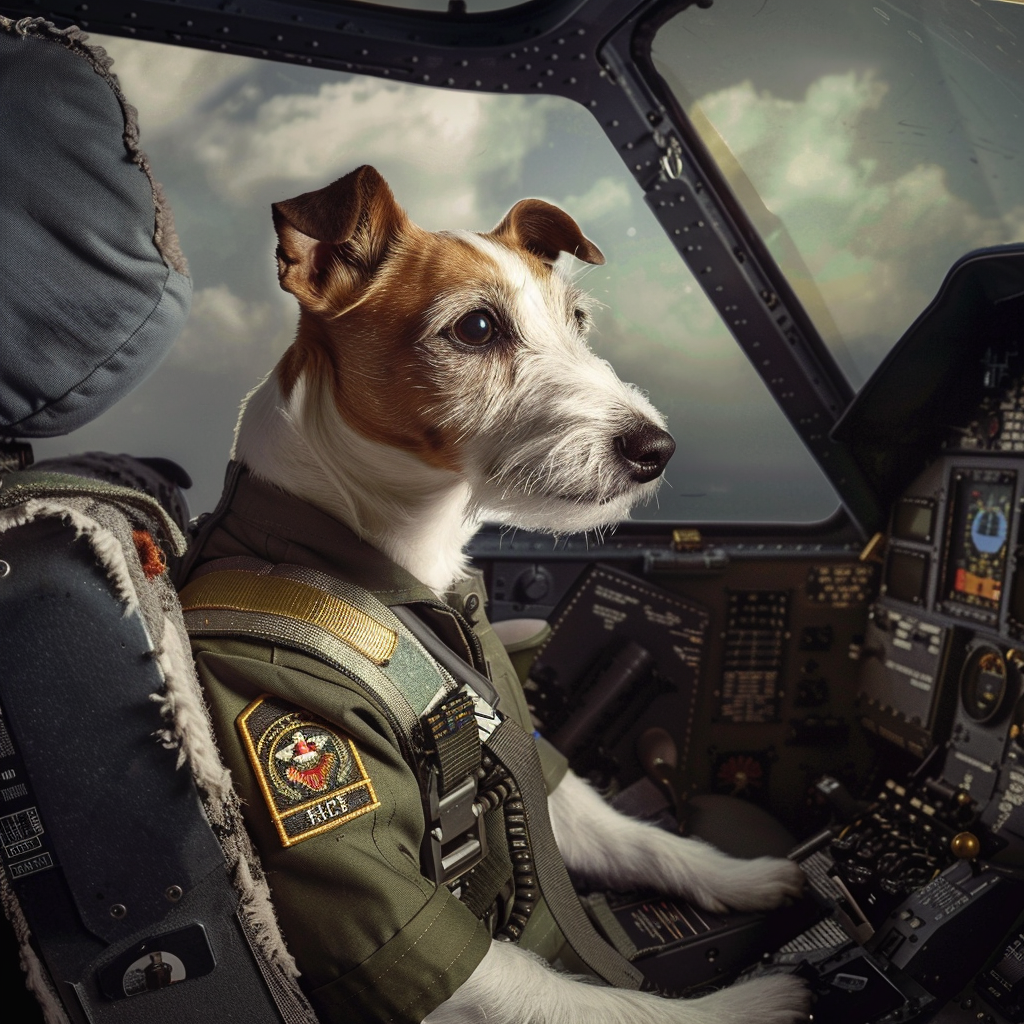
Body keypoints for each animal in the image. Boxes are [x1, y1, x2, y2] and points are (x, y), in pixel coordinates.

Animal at [232, 163, 806, 1019]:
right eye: (476, 329)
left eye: (578, 320)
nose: (658, 448)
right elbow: (596, 1003)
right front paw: (748, 1006)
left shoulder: (534, 767)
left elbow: (638, 837)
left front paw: (742, 875)